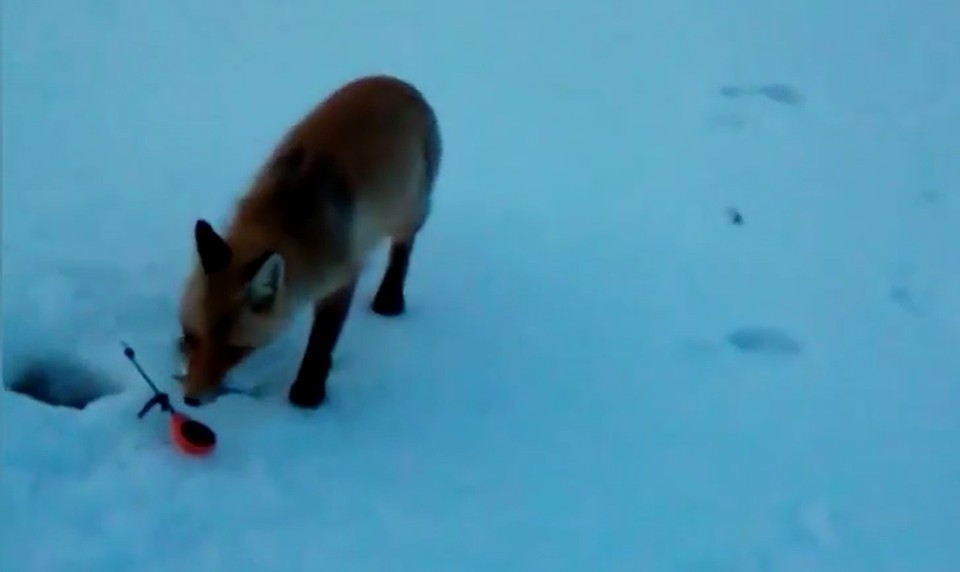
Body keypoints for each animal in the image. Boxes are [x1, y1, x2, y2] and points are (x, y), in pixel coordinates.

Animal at [174, 75, 440, 406]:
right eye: (193, 336)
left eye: (234, 350)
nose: (190, 399)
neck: (281, 220)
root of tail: (400, 83)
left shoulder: (342, 276)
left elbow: (322, 340)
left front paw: (308, 391)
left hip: (408, 212)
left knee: (402, 248)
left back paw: (389, 299)